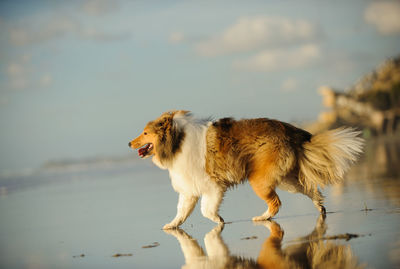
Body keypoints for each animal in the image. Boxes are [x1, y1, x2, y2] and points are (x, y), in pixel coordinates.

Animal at [128, 109, 362, 228]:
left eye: (145, 133)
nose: (129, 143)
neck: (177, 140)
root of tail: (290, 130)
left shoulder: (212, 186)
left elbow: (206, 209)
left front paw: (219, 221)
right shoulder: (189, 190)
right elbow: (182, 211)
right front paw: (171, 225)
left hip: (259, 180)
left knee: (276, 203)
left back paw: (262, 218)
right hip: (286, 179)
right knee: (310, 190)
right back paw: (320, 208)